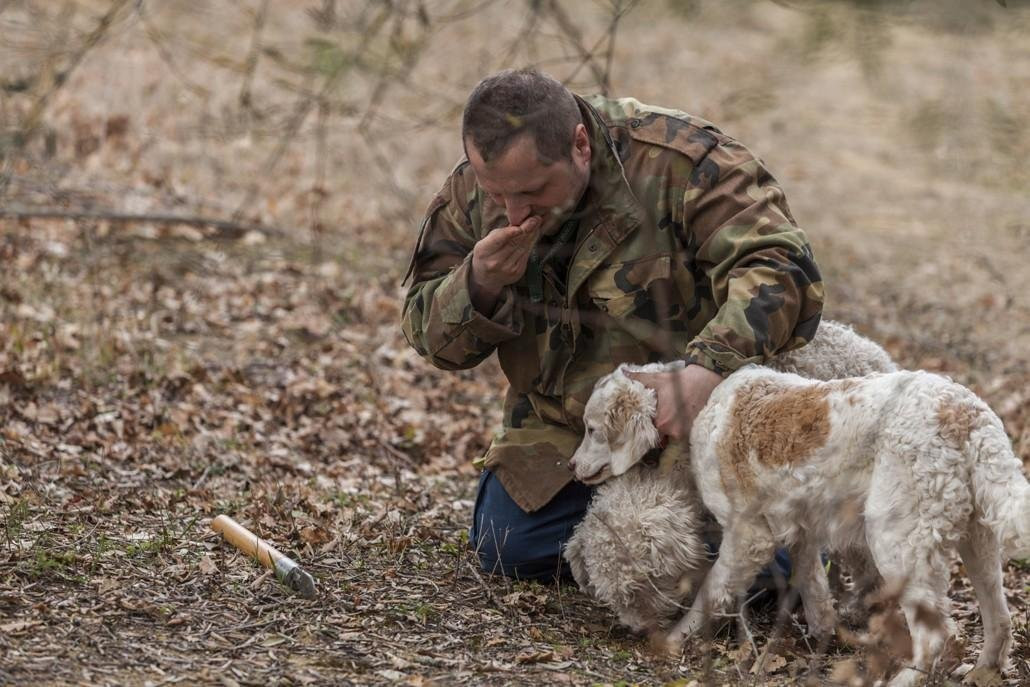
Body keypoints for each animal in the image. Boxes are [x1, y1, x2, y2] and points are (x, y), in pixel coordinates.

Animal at [572, 362, 1030, 683]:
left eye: (591, 429)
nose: (572, 466)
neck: (699, 408)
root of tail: (967, 412)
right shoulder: (803, 529)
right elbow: (812, 584)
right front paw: (822, 631)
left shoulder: (748, 535)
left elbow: (711, 591)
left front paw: (674, 639)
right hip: (978, 541)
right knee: (999, 618)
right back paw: (983, 672)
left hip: (897, 542)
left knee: (934, 636)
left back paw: (901, 679)